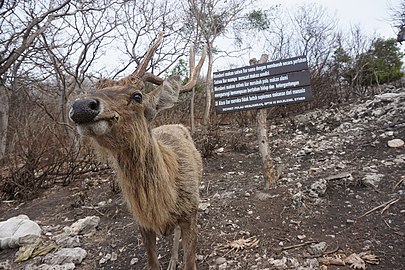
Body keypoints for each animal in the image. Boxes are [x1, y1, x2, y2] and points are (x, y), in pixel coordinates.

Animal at [68, 32, 205, 270]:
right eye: (93, 90)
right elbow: (152, 263)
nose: (82, 106)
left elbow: (190, 260)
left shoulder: (191, 211)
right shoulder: (141, 221)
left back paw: (173, 260)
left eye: (137, 96)